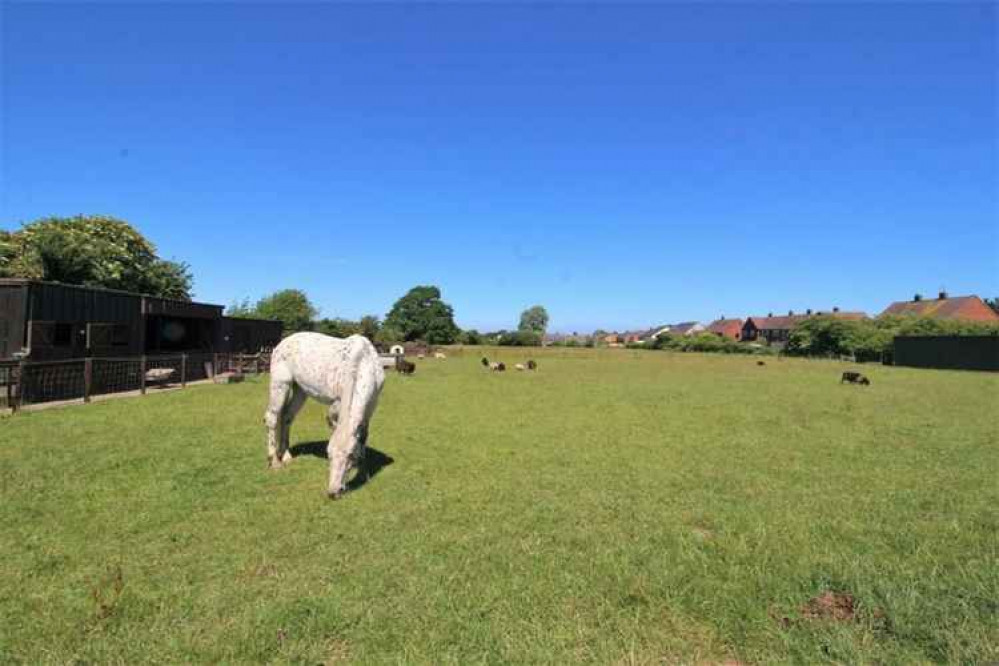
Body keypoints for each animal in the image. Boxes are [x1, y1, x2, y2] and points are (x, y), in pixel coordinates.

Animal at [266, 330, 386, 496]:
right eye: (328, 455)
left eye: (350, 455)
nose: (333, 491)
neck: (364, 361)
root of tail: (282, 343)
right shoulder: (337, 404)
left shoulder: (371, 406)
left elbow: (363, 434)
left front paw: (362, 464)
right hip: (280, 385)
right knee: (272, 418)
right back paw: (275, 461)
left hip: (300, 390)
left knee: (286, 417)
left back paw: (286, 456)